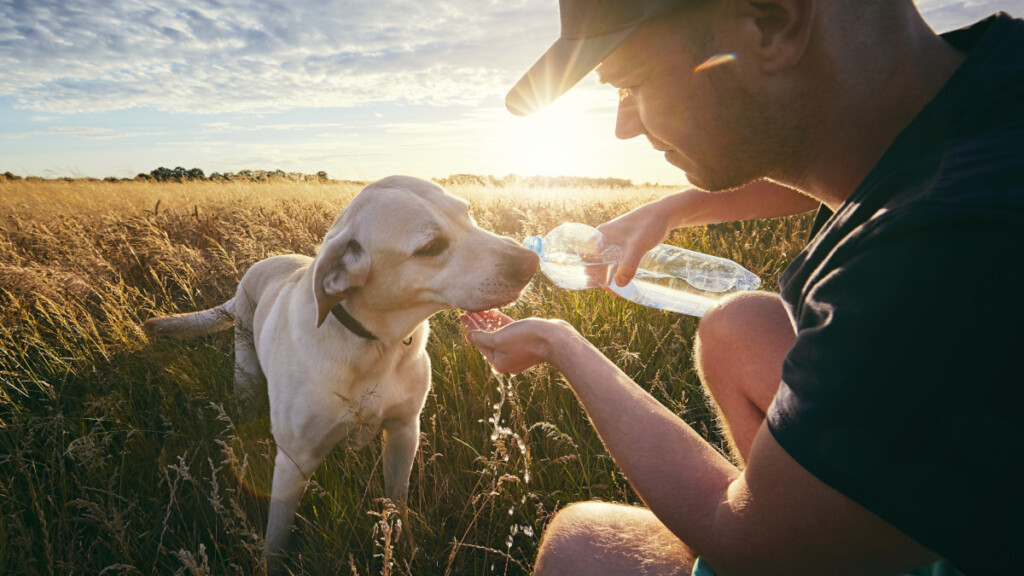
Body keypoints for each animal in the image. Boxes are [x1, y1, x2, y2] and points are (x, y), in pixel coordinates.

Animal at [147, 175, 540, 569]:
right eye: (431, 247)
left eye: (468, 214)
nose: (532, 261)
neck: (374, 345)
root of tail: (263, 263)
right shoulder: (294, 461)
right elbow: (276, 535)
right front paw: (270, 564)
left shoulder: (404, 431)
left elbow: (398, 504)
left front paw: (406, 550)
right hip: (246, 375)